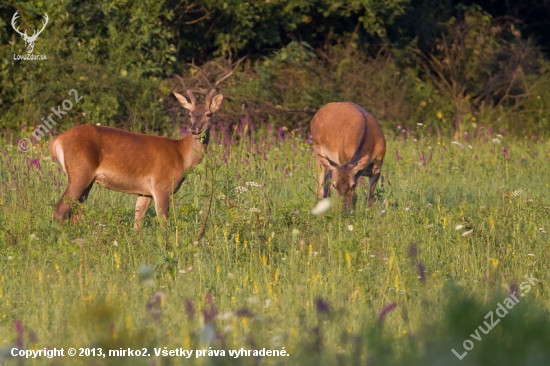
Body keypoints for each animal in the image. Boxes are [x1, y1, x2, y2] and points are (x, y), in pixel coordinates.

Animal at [49, 88, 224, 229]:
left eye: (209, 114)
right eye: (189, 114)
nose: (194, 129)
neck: (181, 155)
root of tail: (57, 140)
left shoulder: (145, 192)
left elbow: (137, 222)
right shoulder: (161, 185)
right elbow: (164, 223)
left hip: (88, 181)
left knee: (76, 212)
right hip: (79, 172)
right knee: (60, 209)